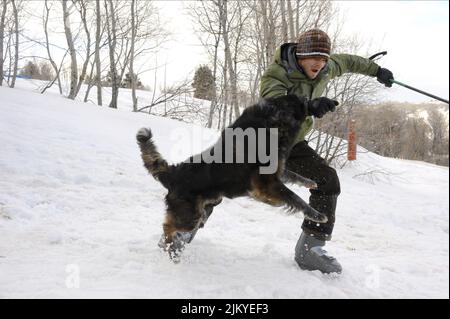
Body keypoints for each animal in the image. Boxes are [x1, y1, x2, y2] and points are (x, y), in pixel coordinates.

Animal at [136, 94, 326, 262]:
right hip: (191, 217)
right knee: (168, 228)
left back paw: (173, 248)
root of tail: (173, 173)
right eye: (302, 102)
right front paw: (317, 215)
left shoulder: (275, 174)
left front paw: (311, 183)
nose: (311, 100)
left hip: (201, 212)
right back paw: (173, 251)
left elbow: (295, 176)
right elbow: (296, 198)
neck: (270, 120)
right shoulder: (266, 184)